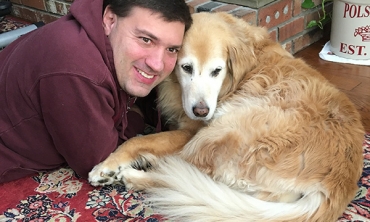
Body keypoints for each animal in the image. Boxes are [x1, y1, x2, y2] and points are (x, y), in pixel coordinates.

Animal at [89, 12, 364, 222]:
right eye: (186, 67)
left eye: (217, 71)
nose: (202, 111)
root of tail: (339, 182)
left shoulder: (191, 130)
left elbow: (138, 140)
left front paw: (106, 166)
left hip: (218, 133)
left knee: (176, 173)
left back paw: (134, 175)